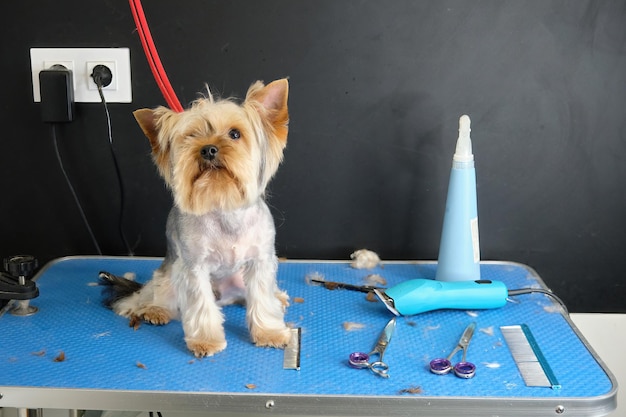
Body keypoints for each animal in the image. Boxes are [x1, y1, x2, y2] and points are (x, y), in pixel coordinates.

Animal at [99, 78, 290, 354]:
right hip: (169, 275)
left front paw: (269, 332)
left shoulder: (260, 261)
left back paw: (278, 297)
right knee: (156, 296)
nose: (208, 149)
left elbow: (262, 298)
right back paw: (155, 310)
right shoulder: (193, 267)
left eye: (235, 134)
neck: (223, 204)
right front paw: (206, 340)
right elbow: (200, 304)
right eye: (191, 136)